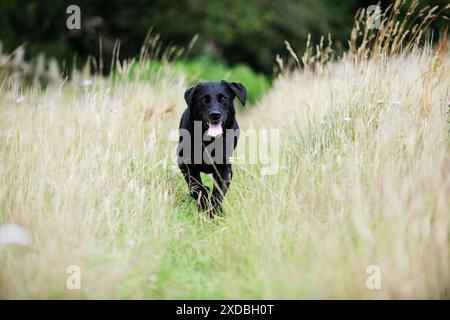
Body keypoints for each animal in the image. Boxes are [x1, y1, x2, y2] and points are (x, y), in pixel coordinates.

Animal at [177, 80, 246, 215]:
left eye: (223, 98)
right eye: (204, 99)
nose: (215, 115)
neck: (209, 140)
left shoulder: (225, 169)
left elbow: (218, 193)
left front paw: (214, 212)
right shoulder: (185, 163)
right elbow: (196, 187)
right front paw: (203, 205)